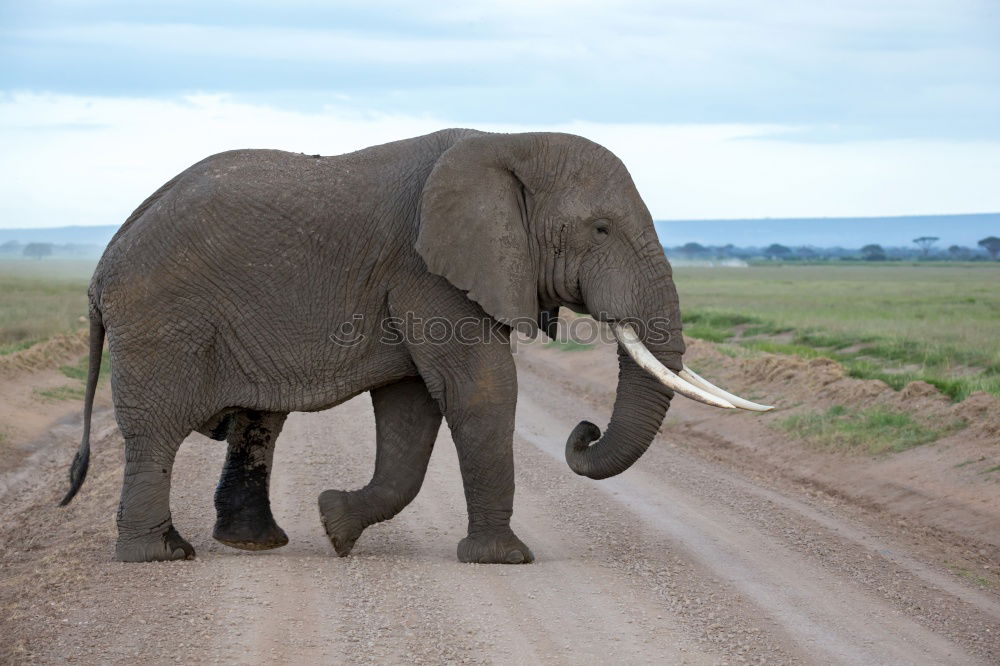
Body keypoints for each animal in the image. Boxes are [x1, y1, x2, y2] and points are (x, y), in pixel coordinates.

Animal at [58, 128, 768, 560]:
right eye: (600, 228)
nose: (584, 431)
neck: (508, 142)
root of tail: (103, 262)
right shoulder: (427, 272)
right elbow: (480, 391)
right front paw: (504, 561)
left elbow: (412, 407)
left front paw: (336, 525)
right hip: (161, 321)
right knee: (157, 431)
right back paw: (162, 556)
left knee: (258, 423)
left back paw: (256, 545)